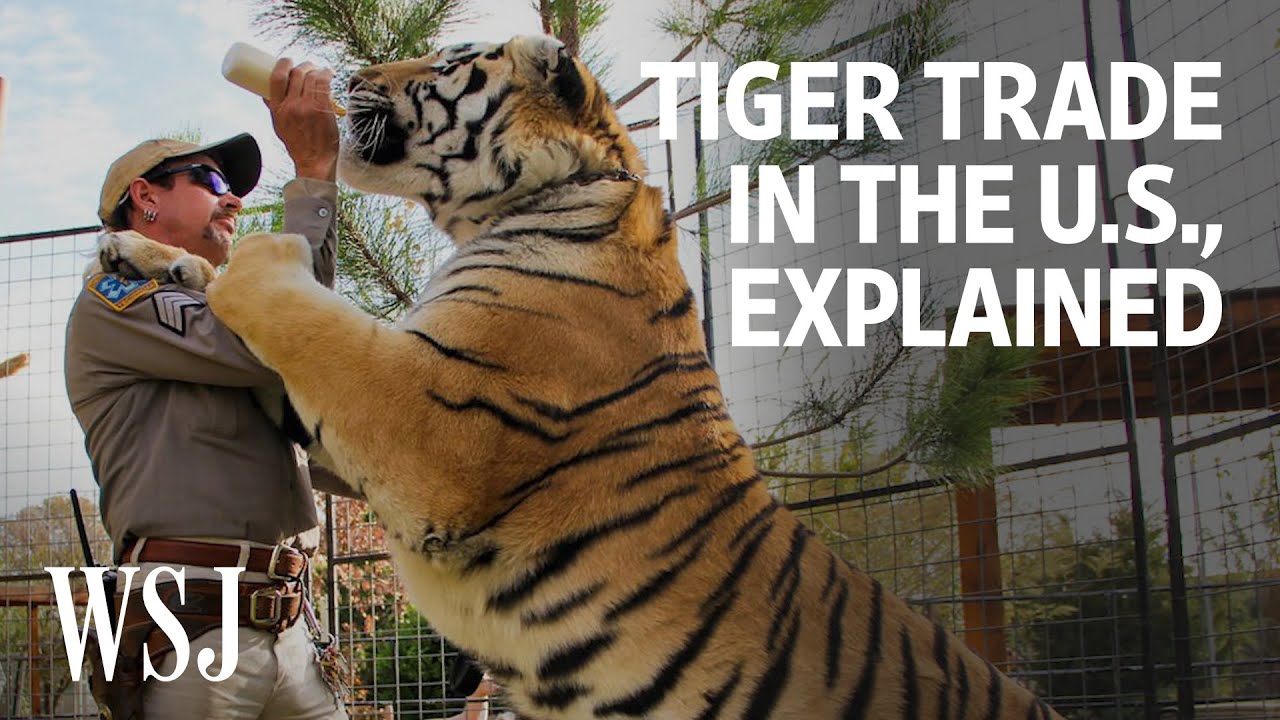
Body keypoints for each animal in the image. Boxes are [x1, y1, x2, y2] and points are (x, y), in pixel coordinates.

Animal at [101, 34, 1066, 719]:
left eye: (445, 62)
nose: (354, 73)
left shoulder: (431, 420)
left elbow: (296, 308)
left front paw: (257, 252)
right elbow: (228, 305)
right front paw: (137, 252)